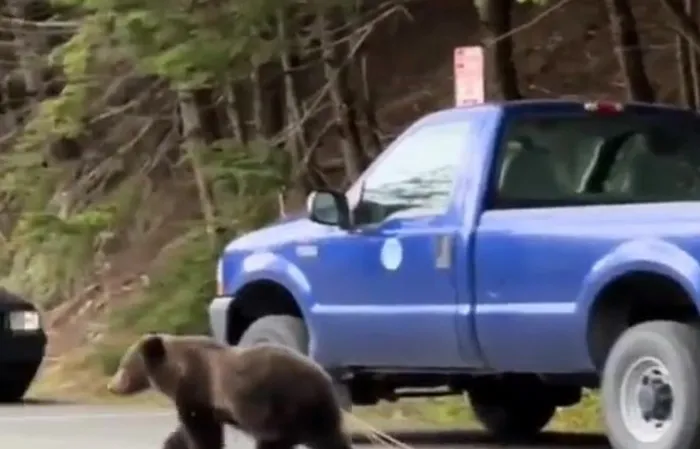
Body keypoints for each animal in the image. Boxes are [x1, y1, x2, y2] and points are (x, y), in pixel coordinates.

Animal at [107, 333, 352, 449]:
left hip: (284, 410)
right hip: (314, 415)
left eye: (123, 365)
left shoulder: (197, 391)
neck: (177, 373)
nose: (111, 386)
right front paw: (170, 444)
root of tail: (325, 380)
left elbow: (202, 432)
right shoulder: (205, 403)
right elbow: (183, 432)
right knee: (331, 439)